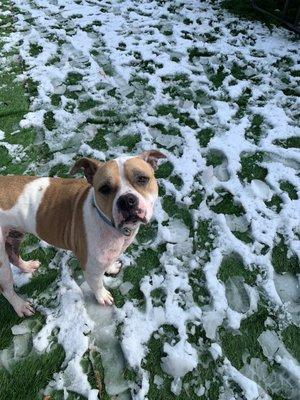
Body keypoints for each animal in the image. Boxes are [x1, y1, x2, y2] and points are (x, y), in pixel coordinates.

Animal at [0, 150, 165, 316]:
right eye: (105, 188)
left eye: (142, 179)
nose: (126, 200)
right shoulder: (90, 268)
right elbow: (97, 284)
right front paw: (102, 296)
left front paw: (110, 267)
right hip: (2, 263)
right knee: (6, 288)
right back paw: (20, 305)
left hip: (15, 235)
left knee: (14, 256)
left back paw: (27, 267)